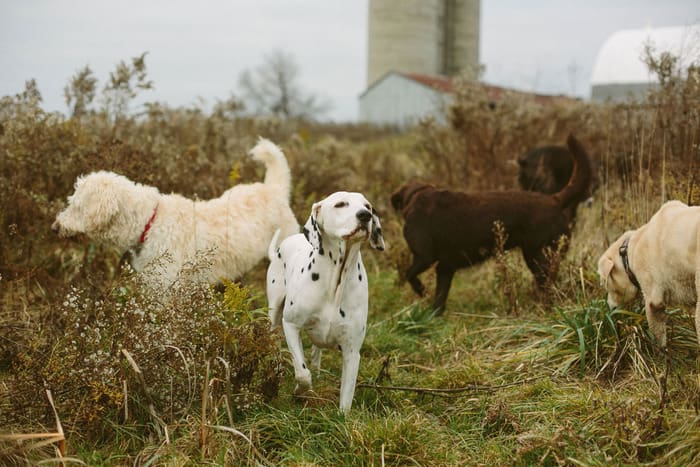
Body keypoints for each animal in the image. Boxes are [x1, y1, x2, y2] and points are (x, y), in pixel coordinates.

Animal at [266, 193, 386, 414]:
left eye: (367, 206)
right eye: (340, 204)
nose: (365, 215)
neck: (336, 281)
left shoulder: (352, 352)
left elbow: (346, 398)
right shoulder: (291, 325)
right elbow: (302, 374)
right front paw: (300, 391)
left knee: (316, 351)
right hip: (274, 313)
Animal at [596, 199, 700, 350]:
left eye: (605, 284)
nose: (611, 308)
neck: (629, 253)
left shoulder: (653, 301)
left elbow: (658, 336)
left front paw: (660, 353)